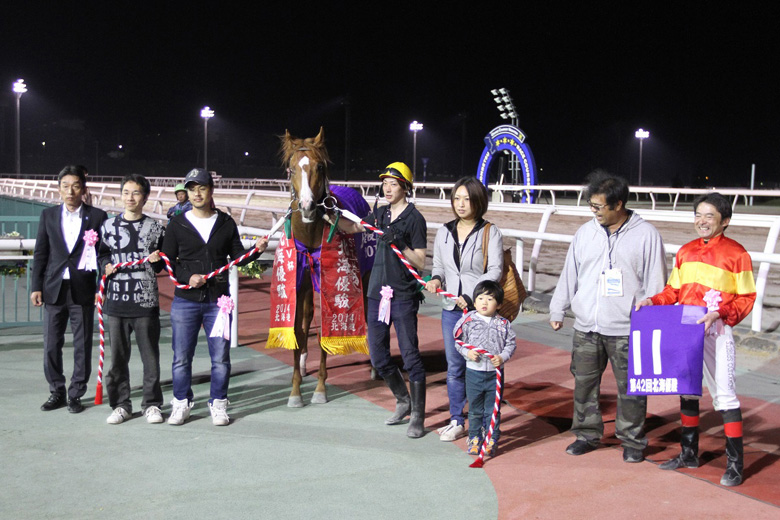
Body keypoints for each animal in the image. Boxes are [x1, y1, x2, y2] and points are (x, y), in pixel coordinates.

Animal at [279, 127, 373, 407]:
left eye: (319, 166)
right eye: (291, 168)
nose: (308, 206)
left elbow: (324, 331)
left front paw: (320, 389)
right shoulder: (300, 279)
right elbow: (298, 329)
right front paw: (295, 390)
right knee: (307, 317)